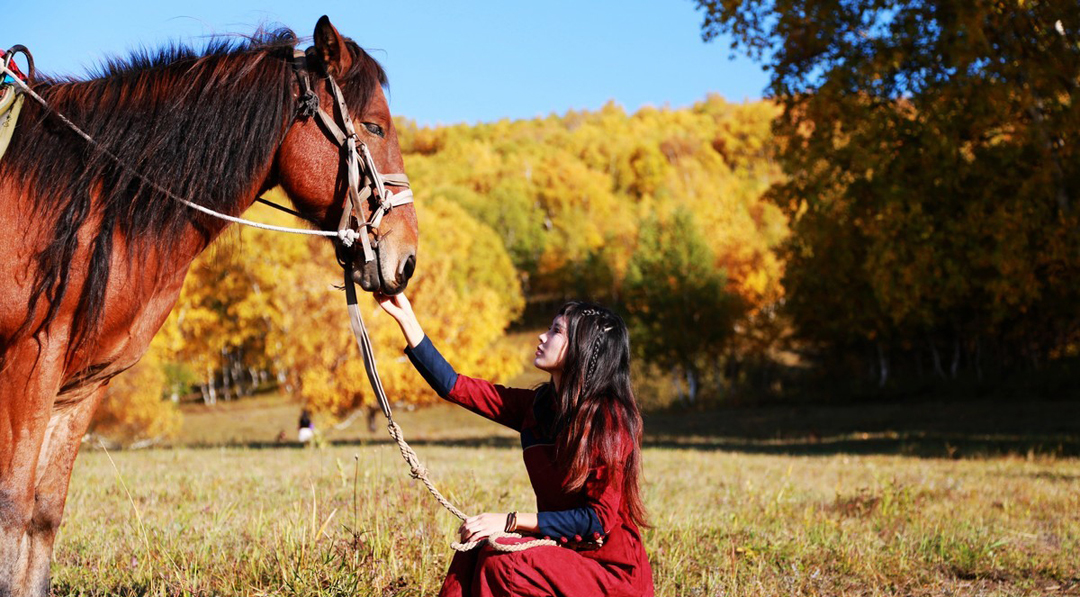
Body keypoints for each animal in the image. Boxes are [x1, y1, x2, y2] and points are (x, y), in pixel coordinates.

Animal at [0, 16, 416, 591]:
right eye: (374, 127)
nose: (406, 258)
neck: (87, 192)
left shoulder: (76, 386)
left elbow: (43, 512)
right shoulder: (28, 361)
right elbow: (13, 508)